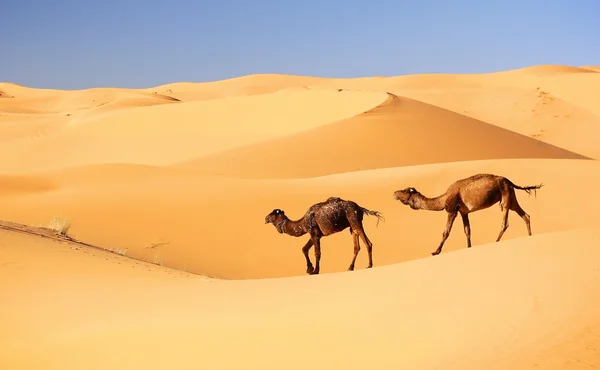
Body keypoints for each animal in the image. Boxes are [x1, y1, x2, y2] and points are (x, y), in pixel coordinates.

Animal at [394, 173, 544, 254]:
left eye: (404, 191)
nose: (394, 192)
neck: (443, 199)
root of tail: (510, 181)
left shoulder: (452, 210)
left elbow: (446, 232)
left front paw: (436, 251)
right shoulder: (463, 212)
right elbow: (467, 230)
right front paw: (468, 247)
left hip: (505, 197)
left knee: (505, 223)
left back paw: (495, 241)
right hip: (511, 197)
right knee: (525, 215)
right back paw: (530, 236)